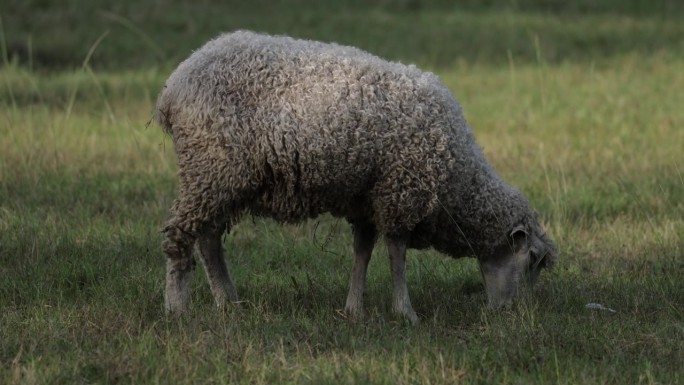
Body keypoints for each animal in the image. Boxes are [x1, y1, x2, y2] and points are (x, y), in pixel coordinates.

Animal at [155, 31, 556, 322]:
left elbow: (362, 252)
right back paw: (178, 309)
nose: (518, 315)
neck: (457, 179)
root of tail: (175, 84)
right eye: (532, 259)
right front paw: (405, 312)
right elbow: (396, 254)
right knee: (181, 237)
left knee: (208, 239)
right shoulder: (401, 190)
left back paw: (227, 302)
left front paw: (354, 309)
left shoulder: (367, 199)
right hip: (210, 167)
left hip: (221, 179)